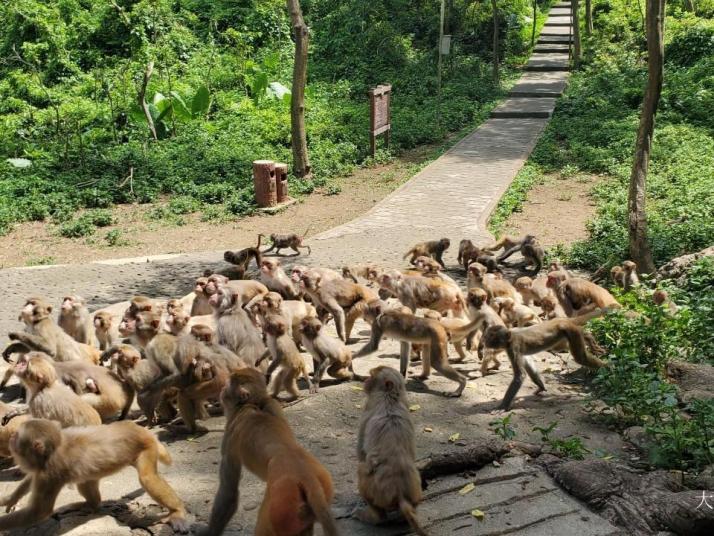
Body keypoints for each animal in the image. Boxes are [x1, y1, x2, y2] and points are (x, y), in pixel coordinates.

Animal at [0, 418, 189, 532]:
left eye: (16, 436)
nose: (11, 438)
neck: (51, 452)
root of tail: (140, 429)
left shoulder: (49, 474)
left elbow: (39, 511)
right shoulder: (42, 469)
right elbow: (33, 477)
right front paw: (11, 499)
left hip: (147, 447)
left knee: (147, 478)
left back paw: (177, 511)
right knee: (85, 481)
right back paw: (91, 505)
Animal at [199, 368, 336, 536]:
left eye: (228, 384)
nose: (223, 389)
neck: (254, 404)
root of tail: (308, 478)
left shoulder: (230, 437)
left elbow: (229, 491)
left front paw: (208, 531)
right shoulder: (273, 404)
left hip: (280, 502)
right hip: (322, 487)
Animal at [356, 366, 428, 532]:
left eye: (371, 376)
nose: (365, 380)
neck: (391, 396)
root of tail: (400, 492)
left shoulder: (369, 406)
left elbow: (361, 452)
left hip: (375, 489)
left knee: (362, 470)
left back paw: (374, 517)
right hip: (415, 492)